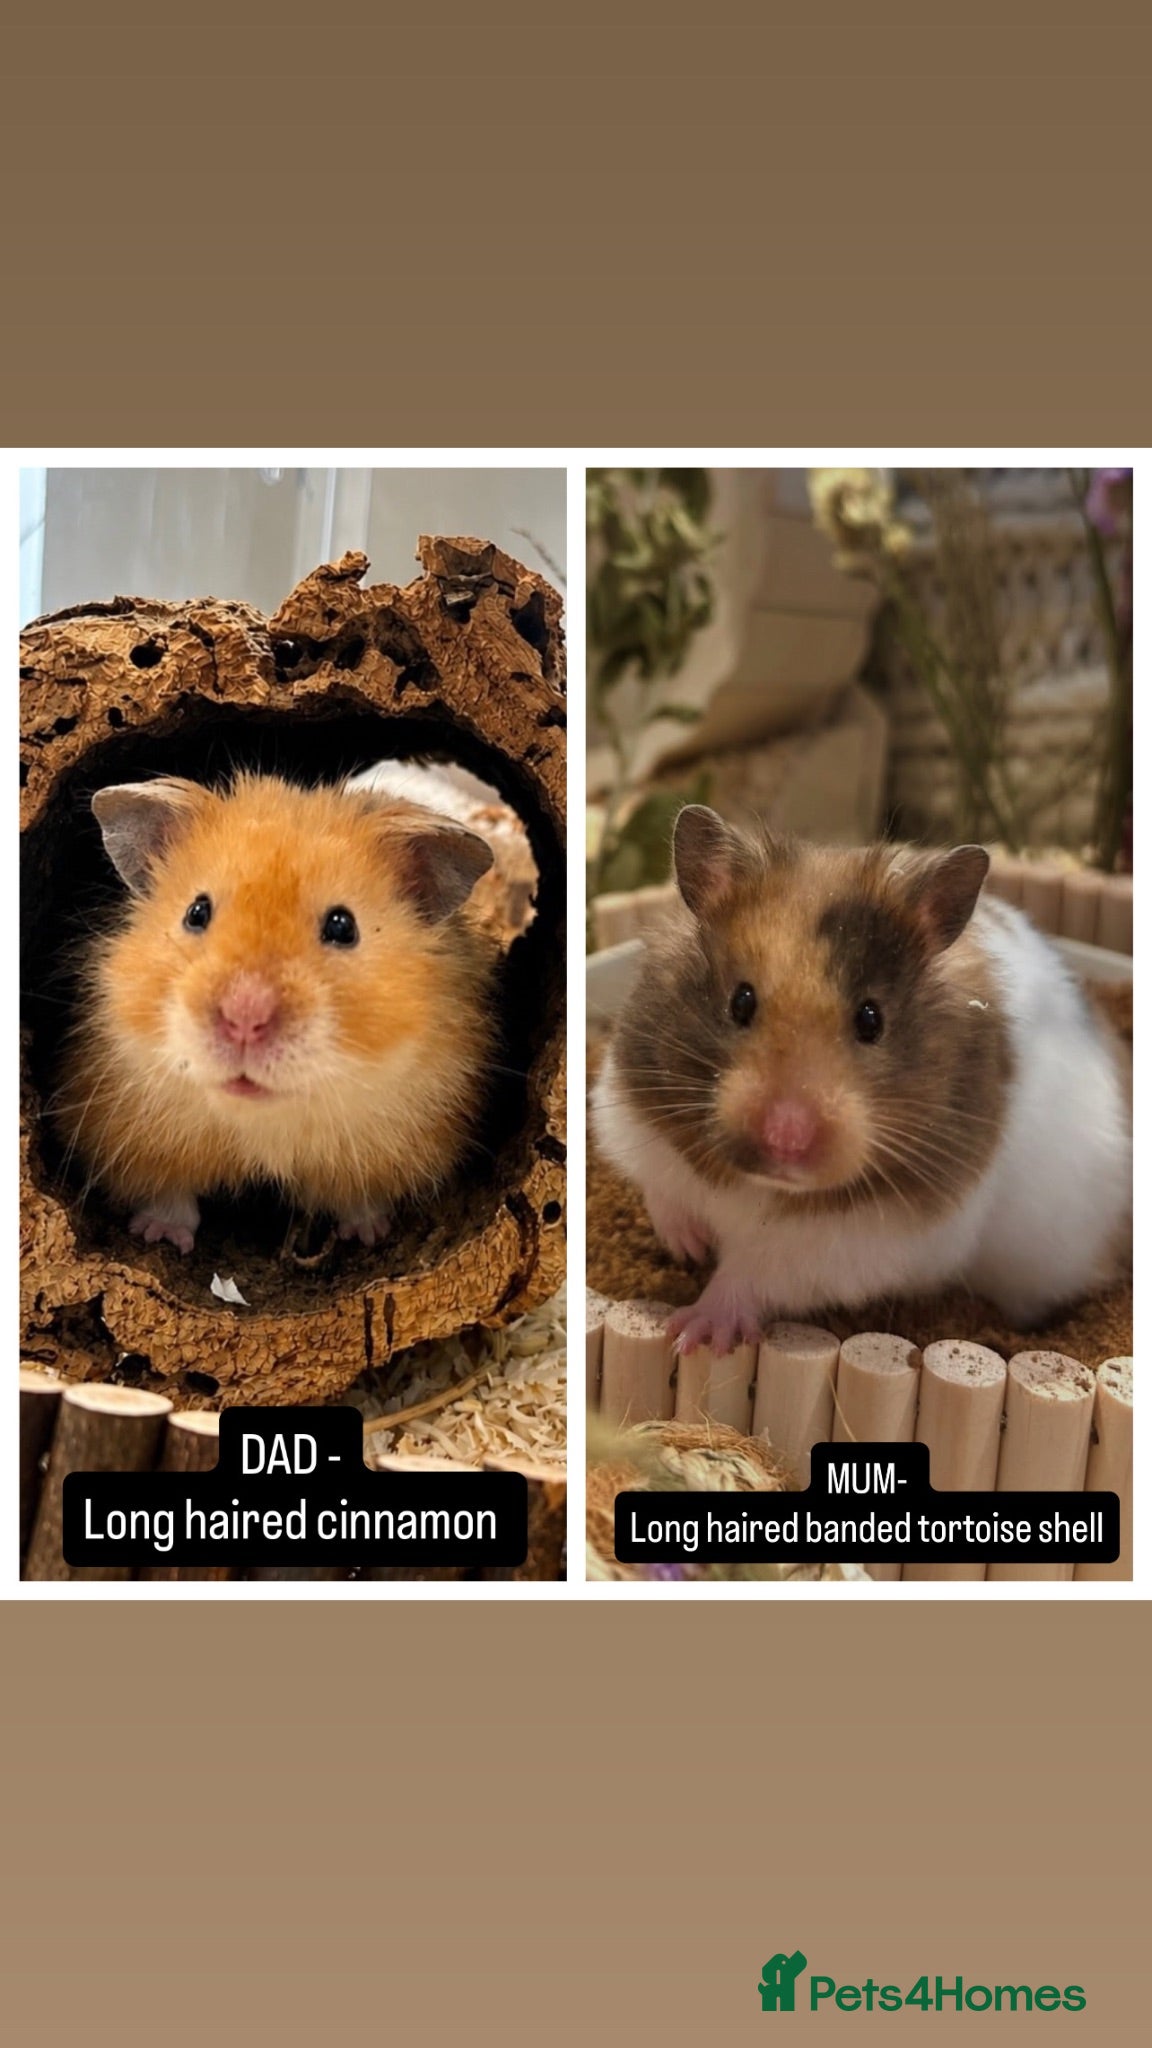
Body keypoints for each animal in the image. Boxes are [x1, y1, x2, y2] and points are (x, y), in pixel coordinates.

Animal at [54, 771, 499, 1253]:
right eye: (196, 911)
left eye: (343, 926)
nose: (244, 1017)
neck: (264, 1117)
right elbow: (169, 1195)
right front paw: (161, 1236)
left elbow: (360, 1198)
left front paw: (368, 1235)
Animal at [592, 805, 1132, 1354]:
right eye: (740, 1002)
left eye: (872, 1020)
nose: (785, 1139)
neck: (761, 1188)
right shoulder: (637, 1125)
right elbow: (662, 1193)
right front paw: (689, 1246)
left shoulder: (855, 1243)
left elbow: (751, 1276)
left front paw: (693, 1334)